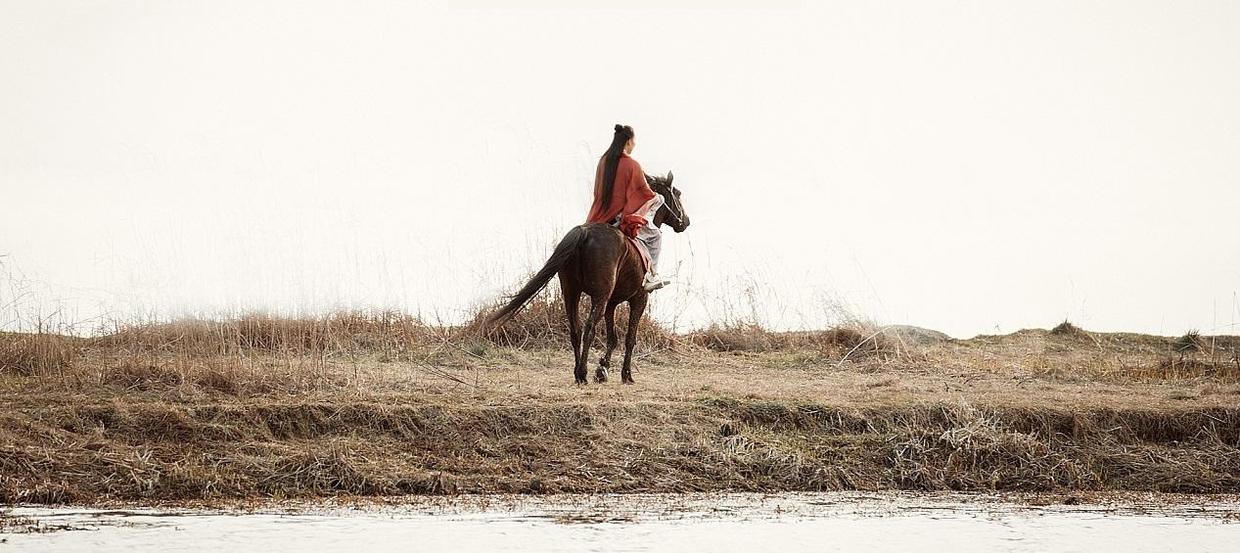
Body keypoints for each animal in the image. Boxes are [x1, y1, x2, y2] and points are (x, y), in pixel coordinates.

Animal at [483, 172, 694, 384]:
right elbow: (629, 338)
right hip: (599, 297)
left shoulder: (612, 303)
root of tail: (583, 233)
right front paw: (626, 374)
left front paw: (603, 369)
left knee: (575, 331)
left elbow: (612, 338)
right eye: (678, 194)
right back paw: (583, 373)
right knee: (589, 329)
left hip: (571, 293)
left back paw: (578, 373)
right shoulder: (638, 299)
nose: (686, 221)